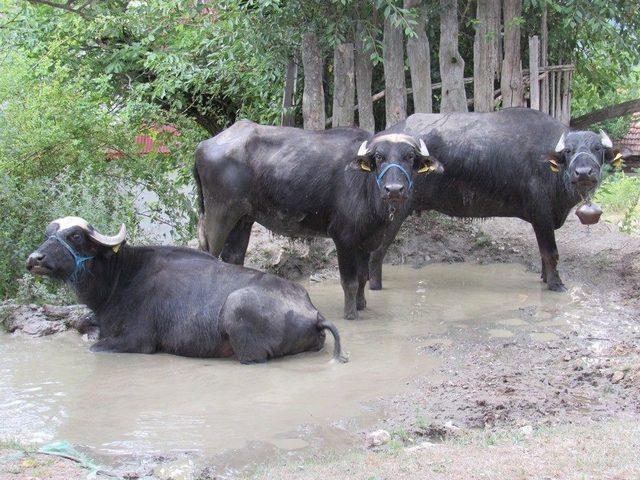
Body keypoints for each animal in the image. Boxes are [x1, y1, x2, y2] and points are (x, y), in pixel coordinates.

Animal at [26, 216, 344, 362]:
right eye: (48, 233)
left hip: (240, 318)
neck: (121, 277)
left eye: (75, 236)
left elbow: (94, 346)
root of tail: (313, 313)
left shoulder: (136, 341)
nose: (34, 259)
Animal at [368, 107, 624, 290]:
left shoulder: (546, 220)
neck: (552, 169)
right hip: (394, 212)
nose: (583, 173)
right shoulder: (541, 215)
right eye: (569, 151)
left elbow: (544, 254)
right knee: (376, 252)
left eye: (597, 149)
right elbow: (551, 253)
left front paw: (545, 278)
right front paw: (556, 284)